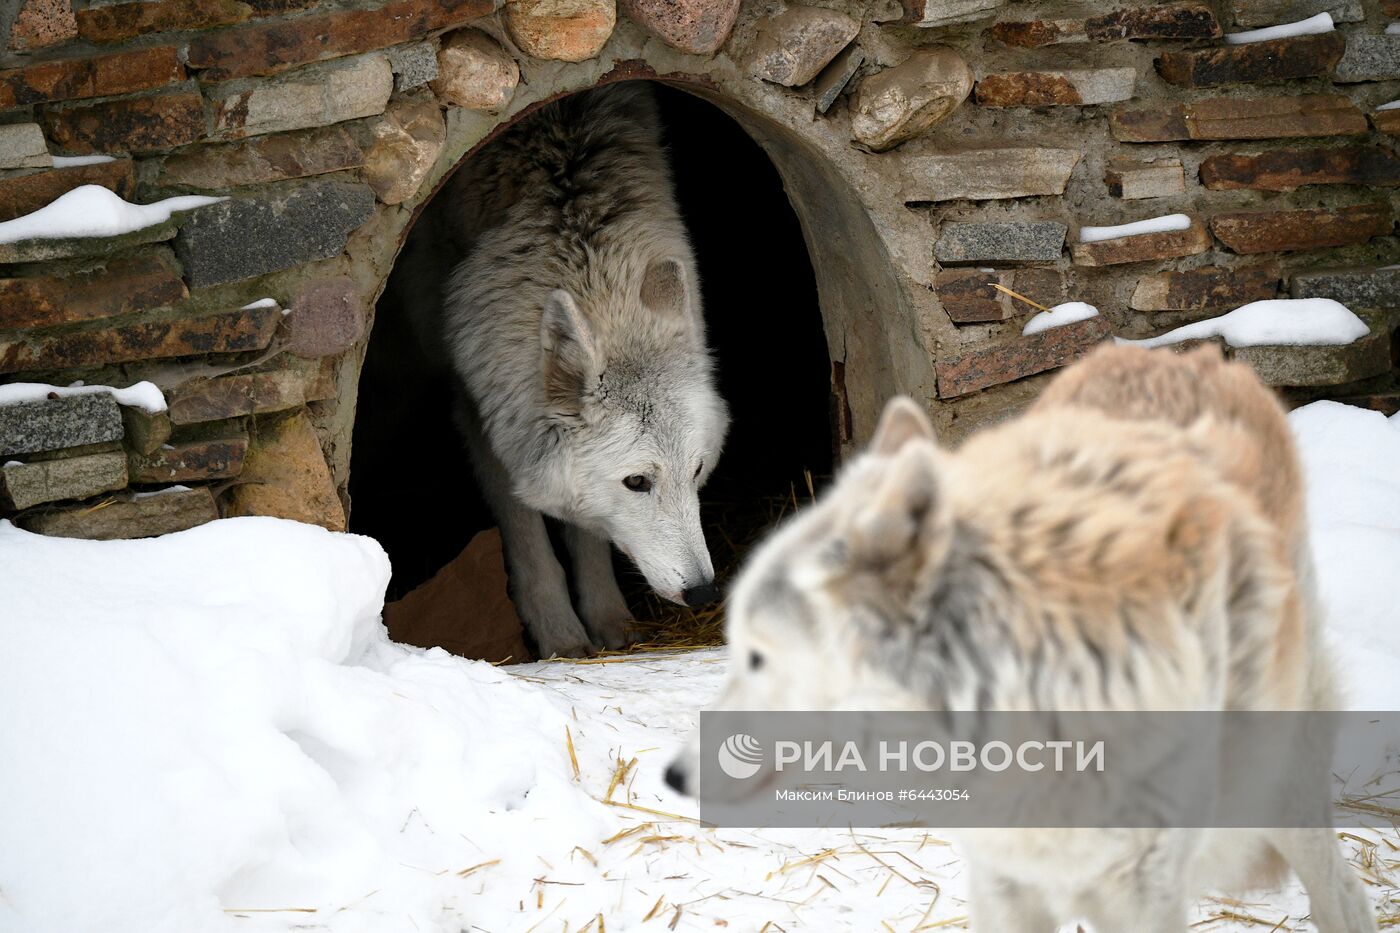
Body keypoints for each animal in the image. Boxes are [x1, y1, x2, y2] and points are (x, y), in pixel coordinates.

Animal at [392, 85, 728, 652]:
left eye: (698, 470)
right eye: (637, 482)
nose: (704, 592)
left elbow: (586, 531)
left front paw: (610, 621)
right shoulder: (478, 407)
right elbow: (527, 534)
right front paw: (558, 634)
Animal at [669, 343, 1377, 930]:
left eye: (756, 656)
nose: (672, 776)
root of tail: (1187, 355)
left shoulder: (1142, 895)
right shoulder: (1004, 881)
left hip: (1279, 780)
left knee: (1342, 893)